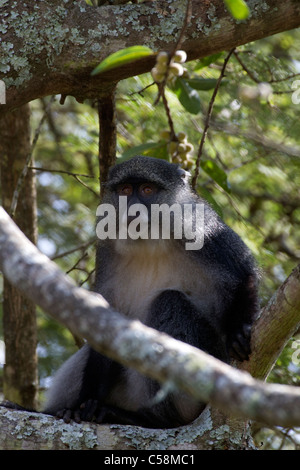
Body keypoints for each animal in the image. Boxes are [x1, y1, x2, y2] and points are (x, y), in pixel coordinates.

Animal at [42, 156, 260, 428]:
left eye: (147, 190)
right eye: (125, 190)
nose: (133, 209)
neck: (150, 242)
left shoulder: (204, 231)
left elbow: (244, 273)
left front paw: (238, 330)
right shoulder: (107, 252)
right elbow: (106, 323)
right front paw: (84, 405)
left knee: (169, 300)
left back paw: (155, 419)